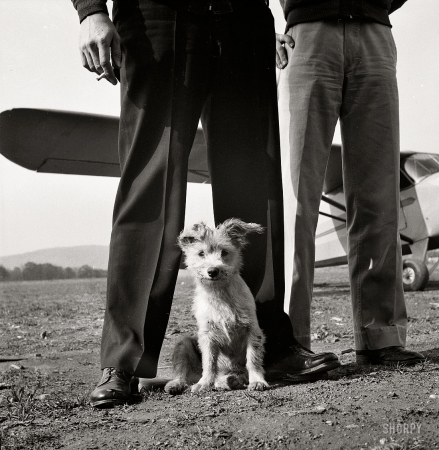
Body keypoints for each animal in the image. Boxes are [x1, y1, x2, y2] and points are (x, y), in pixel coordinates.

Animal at [165, 220, 268, 396]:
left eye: (224, 252)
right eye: (201, 253)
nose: (212, 271)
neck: (220, 294)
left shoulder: (252, 330)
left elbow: (253, 358)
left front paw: (257, 381)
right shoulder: (207, 335)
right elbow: (209, 362)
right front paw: (204, 383)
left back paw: (231, 380)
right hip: (183, 344)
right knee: (183, 373)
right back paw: (177, 384)